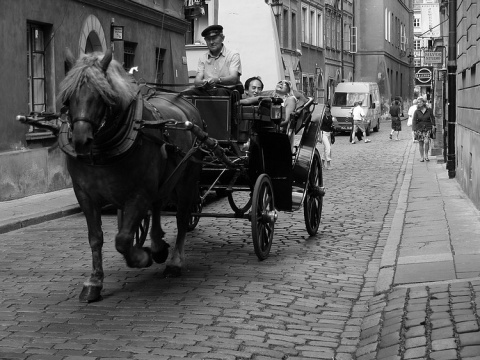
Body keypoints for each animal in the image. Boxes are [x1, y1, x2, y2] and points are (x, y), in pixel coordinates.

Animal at [58, 49, 202, 302]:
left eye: (101, 95)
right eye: (68, 98)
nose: (81, 140)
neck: (103, 151)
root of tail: (185, 103)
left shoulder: (138, 193)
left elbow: (123, 239)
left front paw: (141, 257)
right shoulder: (84, 194)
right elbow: (95, 237)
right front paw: (94, 282)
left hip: (186, 181)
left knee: (182, 218)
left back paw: (174, 261)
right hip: (163, 181)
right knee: (158, 206)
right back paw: (158, 245)